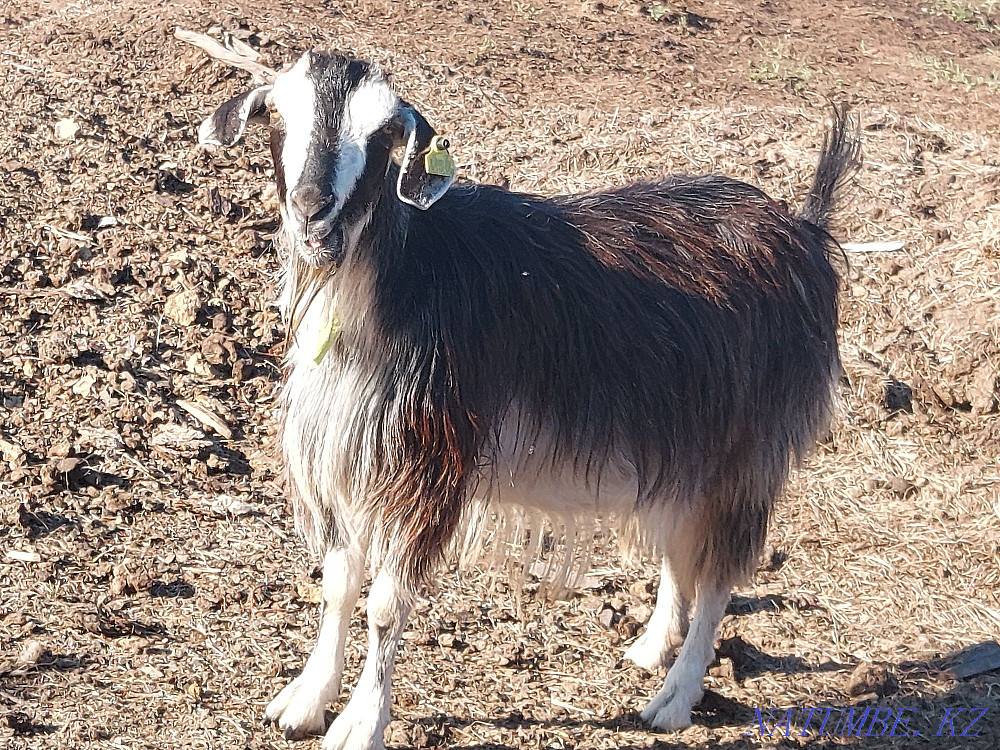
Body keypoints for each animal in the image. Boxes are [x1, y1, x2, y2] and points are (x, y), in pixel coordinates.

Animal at [198, 49, 859, 750]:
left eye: (384, 136)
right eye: (277, 116)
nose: (314, 216)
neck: (391, 286)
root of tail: (804, 233)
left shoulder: (430, 464)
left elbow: (384, 604)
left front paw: (360, 723)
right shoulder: (348, 457)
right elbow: (339, 581)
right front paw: (305, 700)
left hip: (745, 454)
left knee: (719, 576)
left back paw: (674, 698)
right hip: (686, 446)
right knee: (684, 550)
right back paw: (651, 647)